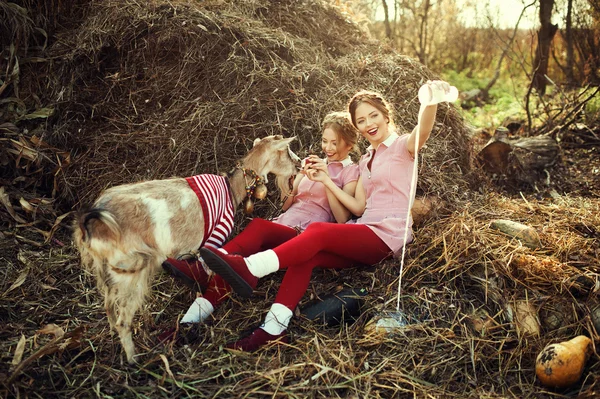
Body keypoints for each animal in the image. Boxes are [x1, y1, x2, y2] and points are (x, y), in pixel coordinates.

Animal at [74, 136, 300, 364]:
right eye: (287, 151)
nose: (299, 164)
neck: (231, 188)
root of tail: (92, 223)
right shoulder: (214, 238)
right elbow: (209, 271)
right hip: (132, 269)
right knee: (123, 318)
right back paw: (134, 360)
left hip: (107, 271)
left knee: (108, 306)